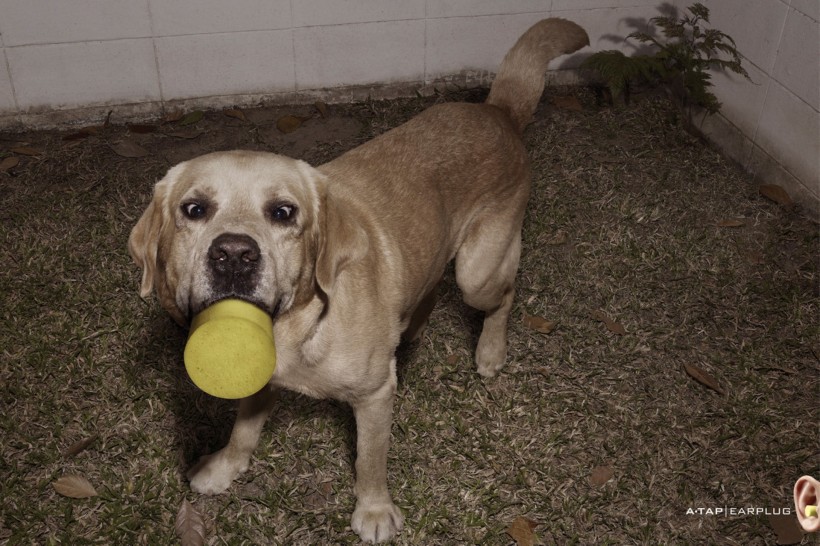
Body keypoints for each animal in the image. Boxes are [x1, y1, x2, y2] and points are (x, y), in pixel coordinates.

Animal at [128, 18, 588, 540]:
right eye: (194, 209)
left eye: (284, 212)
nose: (233, 255)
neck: (302, 326)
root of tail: (498, 111)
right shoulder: (262, 381)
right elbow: (243, 428)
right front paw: (225, 466)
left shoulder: (374, 397)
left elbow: (370, 461)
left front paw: (373, 510)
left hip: (478, 271)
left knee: (503, 294)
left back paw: (491, 351)